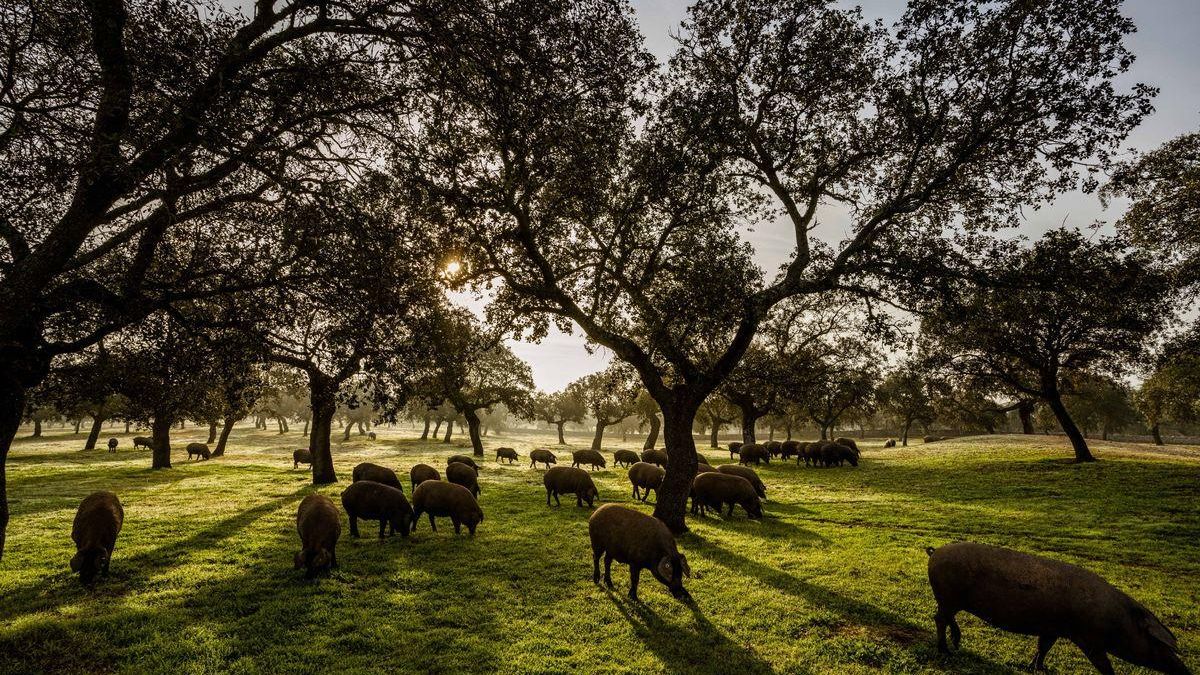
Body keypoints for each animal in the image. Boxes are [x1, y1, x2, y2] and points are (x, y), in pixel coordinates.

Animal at [926, 540, 1190, 672]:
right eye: (1157, 643)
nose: (1185, 672)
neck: (1119, 621)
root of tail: (935, 552)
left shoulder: (1052, 628)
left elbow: (1043, 647)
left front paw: (1038, 668)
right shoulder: (1088, 638)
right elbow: (1104, 665)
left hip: (951, 599)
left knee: (945, 618)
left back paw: (956, 643)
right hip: (949, 596)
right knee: (939, 619)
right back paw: (946, 650)